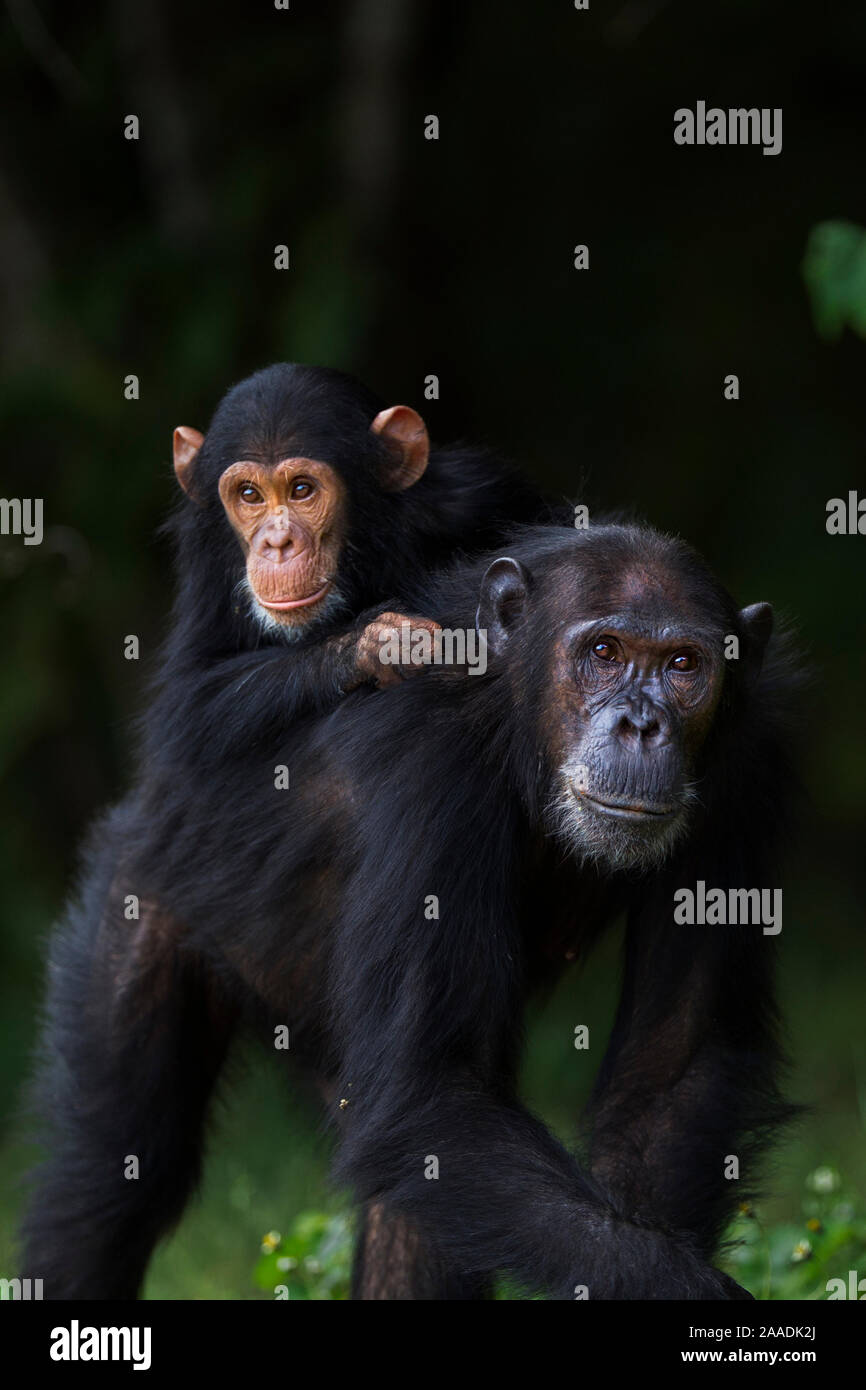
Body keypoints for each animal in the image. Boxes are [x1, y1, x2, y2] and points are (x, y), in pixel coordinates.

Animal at [20, 522, 800, 1301]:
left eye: (684, 664)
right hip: (143, 899)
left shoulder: (748, 760)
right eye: (604, 652)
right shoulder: (432, 763)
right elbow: (425, 1095)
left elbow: (673, 1069)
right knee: (112, 1180)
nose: (643, 724)